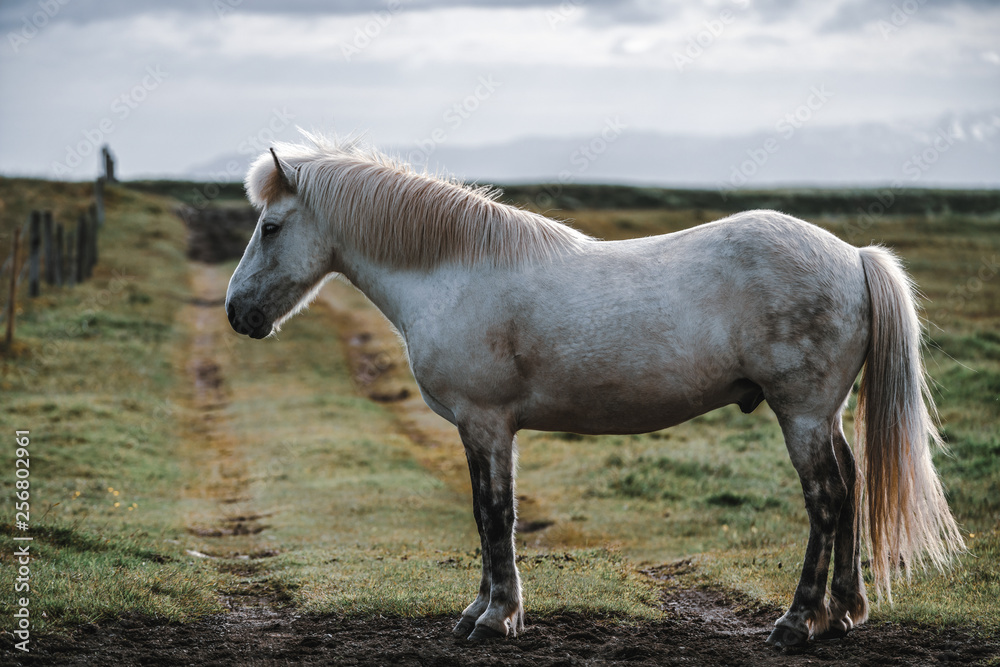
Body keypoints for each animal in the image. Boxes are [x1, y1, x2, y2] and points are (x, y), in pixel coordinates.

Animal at [225, 134, 960, 648]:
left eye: (270, 227)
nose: (237, 313)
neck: (453, 270)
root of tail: (853, 256)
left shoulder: (486, 422)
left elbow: (495, 514)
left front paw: (497, 617)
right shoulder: (479, 428)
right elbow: (484, 514)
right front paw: (481, 609)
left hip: (801, 413)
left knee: (827, 499)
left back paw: (798, 621)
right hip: (823, 415)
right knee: (853, 485)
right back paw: (844, 612)